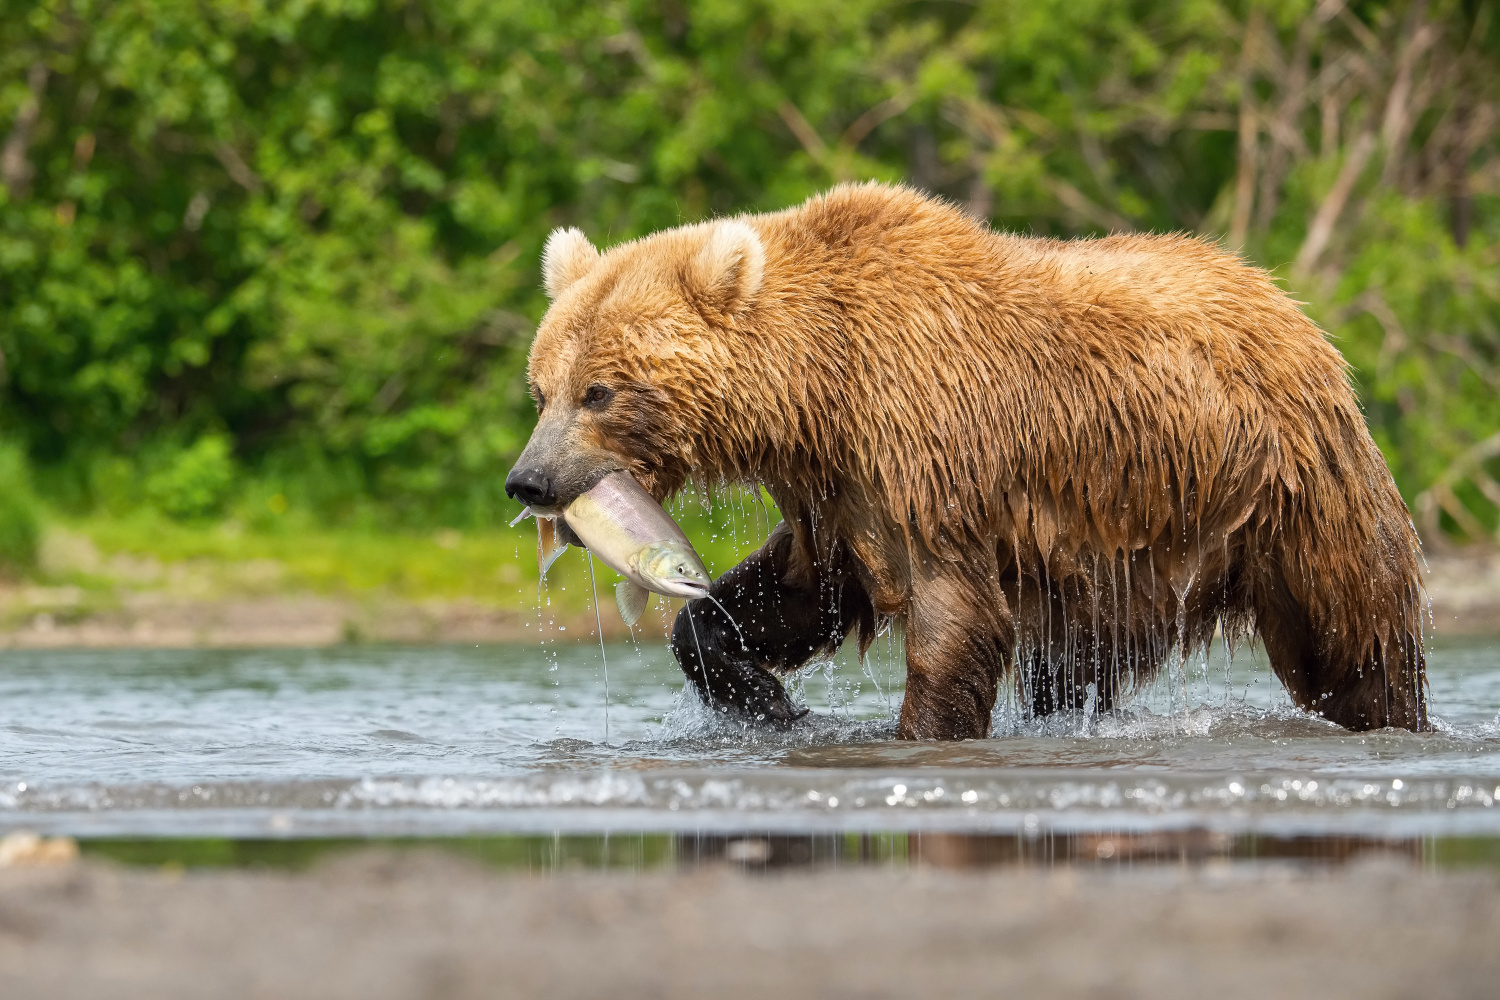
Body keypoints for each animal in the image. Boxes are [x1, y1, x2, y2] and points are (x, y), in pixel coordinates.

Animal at [507, 183, 1428, 740]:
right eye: (540, 387)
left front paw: (918, 731)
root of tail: (1289, 304)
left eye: (599, 391)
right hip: (1123, 558)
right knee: (1072, 668)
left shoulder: (928, 451)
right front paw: (769, 702)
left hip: (1287, 493)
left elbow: (953, 618)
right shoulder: (839, 491)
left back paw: (1396, 715)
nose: (529, 479)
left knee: (1356, 636)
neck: (820, 386)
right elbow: (793, 593)